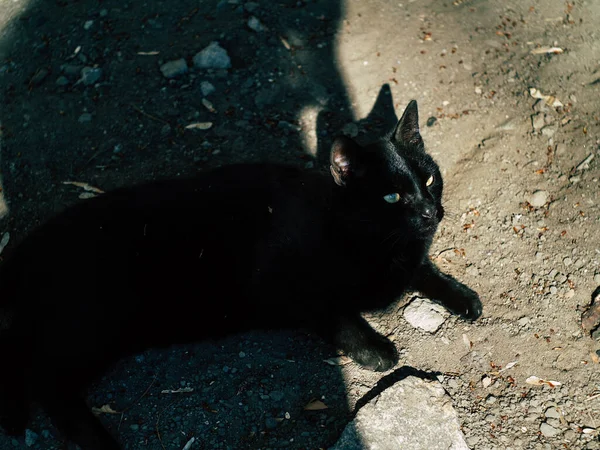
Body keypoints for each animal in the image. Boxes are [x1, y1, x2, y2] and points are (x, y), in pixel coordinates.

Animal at [0, 100, 480, 448]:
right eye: (391, 197)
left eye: (430, 179)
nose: (430, 212)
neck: (368, 238)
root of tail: (23, 250)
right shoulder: (284, 285)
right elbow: (336, 314)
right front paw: (376, 349)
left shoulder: (407, 260)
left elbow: (425, 272)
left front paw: (462, 297)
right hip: (92, 324)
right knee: (43, 378)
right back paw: (93, 439)